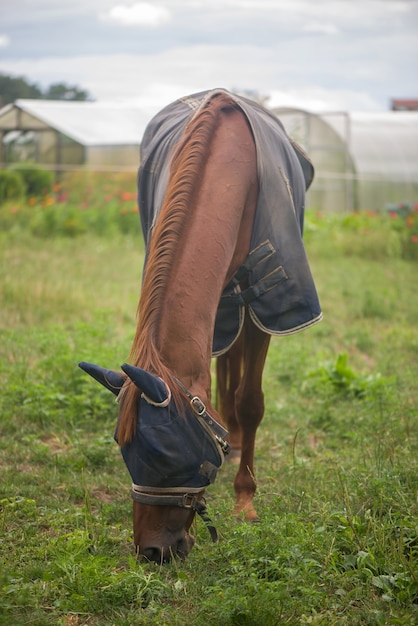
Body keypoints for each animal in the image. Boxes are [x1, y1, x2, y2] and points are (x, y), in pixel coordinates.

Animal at [80, 88, 322, 560]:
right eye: (124, 450)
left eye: (168, 457)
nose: (153, 552)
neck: (227, 173)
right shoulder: (219, 308)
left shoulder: (262, 307)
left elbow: (251, 401)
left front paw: (245, 500)